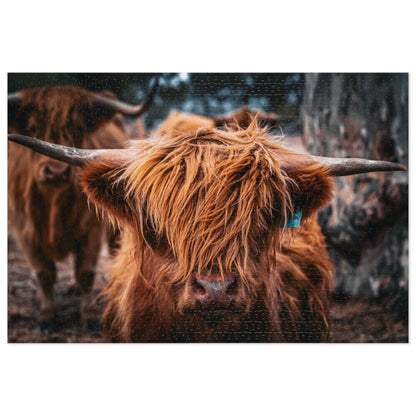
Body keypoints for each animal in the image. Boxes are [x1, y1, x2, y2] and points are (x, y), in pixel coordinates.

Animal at [8, 79, 158, 330]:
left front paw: (88, 316)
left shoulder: (91, 227)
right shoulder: (25, 229)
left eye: (77, 129)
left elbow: (86, 271)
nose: (56, 172)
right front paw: (47, 316)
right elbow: (44, 273)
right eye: (32, 127)